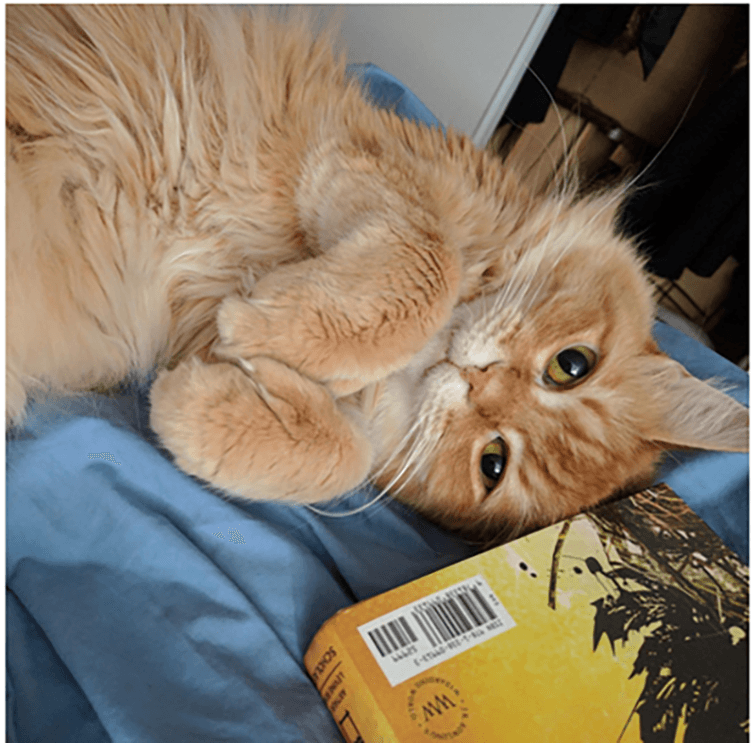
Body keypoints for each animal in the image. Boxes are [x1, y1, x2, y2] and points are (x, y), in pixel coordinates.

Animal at [7, 7, 752, 540]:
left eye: (492, 464)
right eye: (571, 365)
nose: (475, 382)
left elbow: (347, 456)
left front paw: (200, 401)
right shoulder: (358, 155)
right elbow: (428, 265)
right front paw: (277, 324)